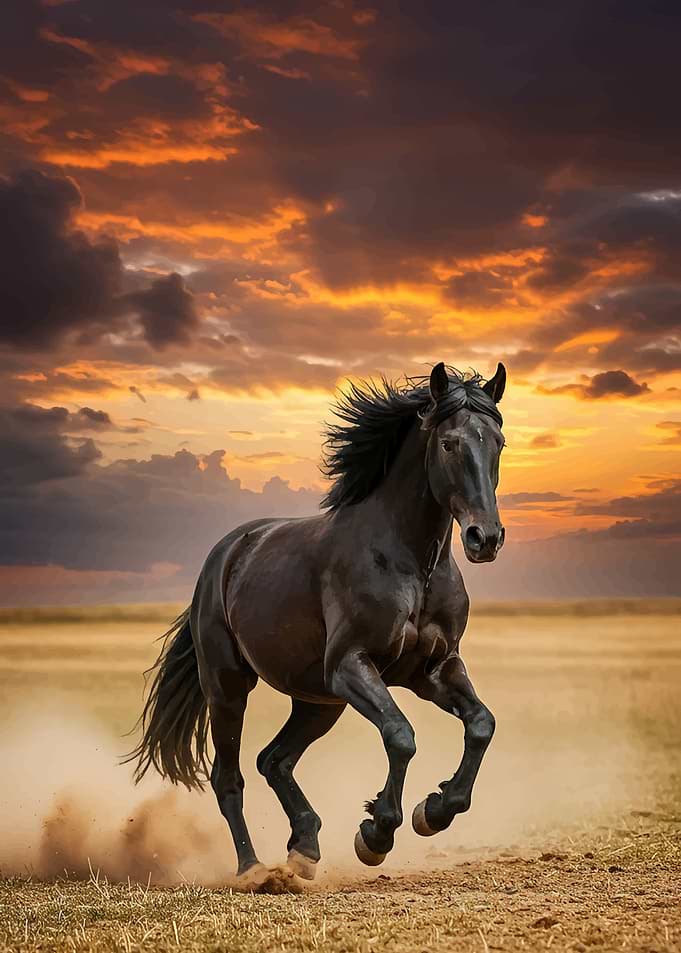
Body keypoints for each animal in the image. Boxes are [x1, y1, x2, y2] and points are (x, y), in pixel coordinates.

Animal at [127, 361, 507, 883]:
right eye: (448, 443)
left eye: (498, 442)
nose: (484, 538)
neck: (411, 563)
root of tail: (225, 555)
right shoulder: (351, 665)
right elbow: (401, 736)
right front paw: (376, 834)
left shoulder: (433, 670)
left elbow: (481, 724)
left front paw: (434, 810)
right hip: (229, 688)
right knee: (230, 777)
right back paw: (254, 870)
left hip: (319, 701)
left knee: (274, 760)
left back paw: (304, 847)